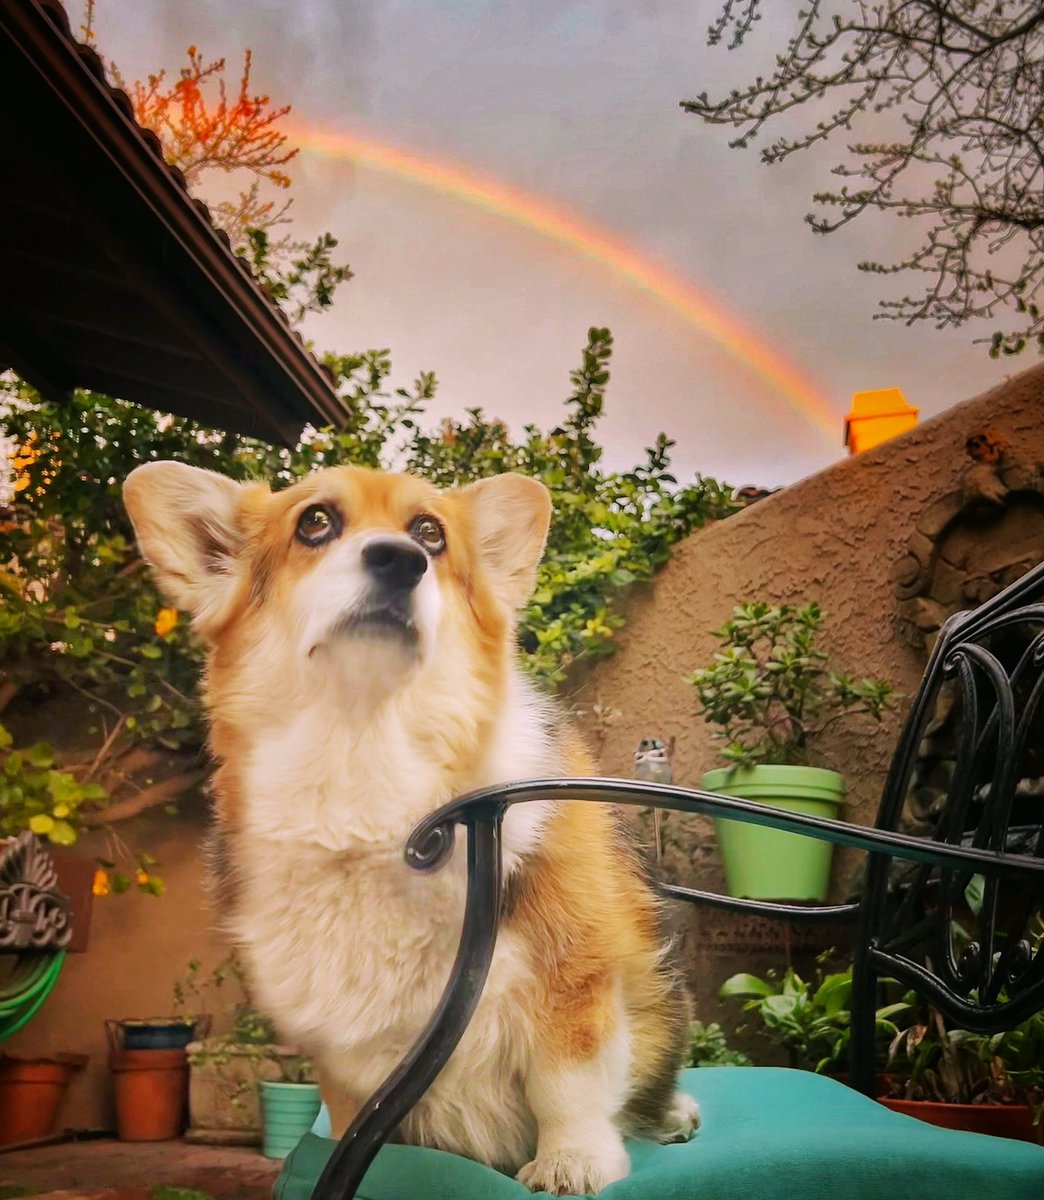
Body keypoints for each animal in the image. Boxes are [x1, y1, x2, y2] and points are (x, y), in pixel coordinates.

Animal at [122, 463, 700, 1195]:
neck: (361, 754)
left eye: (430, 532)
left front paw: (572, 1162)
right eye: (315, 521)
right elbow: (355, 1119)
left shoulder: (576, 969)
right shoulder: (342, 1049)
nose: (401, 561)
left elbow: (566, 1083)